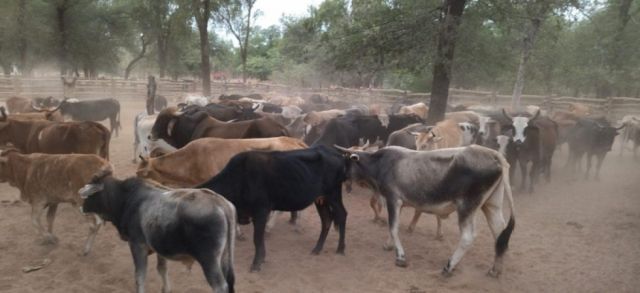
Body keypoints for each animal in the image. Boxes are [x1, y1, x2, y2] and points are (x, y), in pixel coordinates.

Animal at [81, 169, 236, 292]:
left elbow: (140, 277)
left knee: (220, 286)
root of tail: (220, 203)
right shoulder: (159, 249)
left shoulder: (137, 245)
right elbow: (162, 269)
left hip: (209, 260)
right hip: (224, 258)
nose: (81, 207)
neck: (126, 199)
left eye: (90, 194)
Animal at [336, 145, 516, 278]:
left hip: (467, 207)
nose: (342, 176)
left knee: (467, 238)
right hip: (492, 205)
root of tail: (493, 153)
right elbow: (392, 227)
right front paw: (388, 245)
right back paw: (495, 270)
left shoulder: (393, 199)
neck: (380, 164)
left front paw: (400, 257)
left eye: (347, 162)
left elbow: (393, 228)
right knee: (499, 234)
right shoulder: (397, 204)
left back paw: (448, 267)